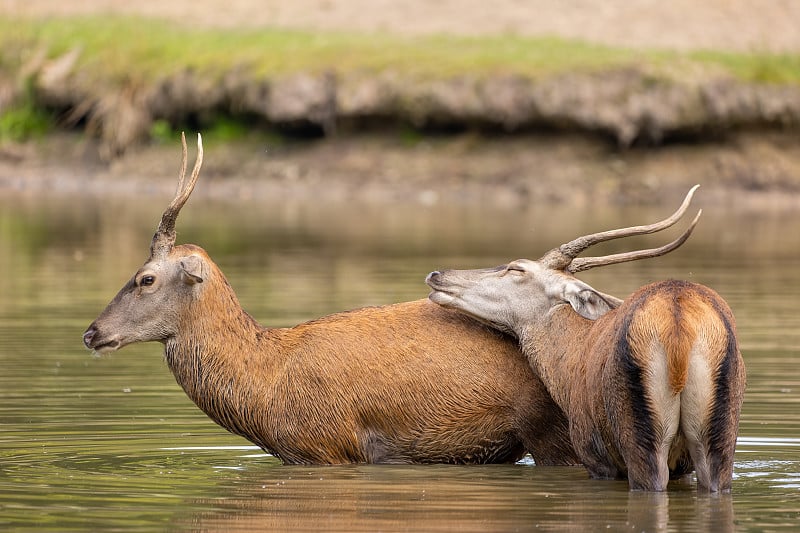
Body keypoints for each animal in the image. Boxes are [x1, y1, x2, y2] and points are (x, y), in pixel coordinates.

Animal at [428, 187, 748, 490]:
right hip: (718, 437)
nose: (437, 275)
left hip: (640, 436)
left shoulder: (593, 455)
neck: (567, 369)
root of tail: (678, 322)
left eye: (516, 267)